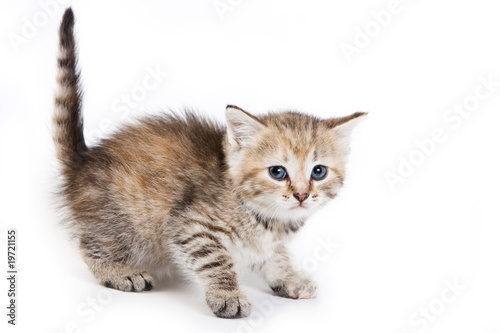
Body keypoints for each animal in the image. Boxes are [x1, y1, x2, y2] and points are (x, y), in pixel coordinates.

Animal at [53, 9, 368, 318]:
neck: (265, 217)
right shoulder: (191, 226)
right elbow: (215, 261)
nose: (302, 195)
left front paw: (290, 278)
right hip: (124, 223)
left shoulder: (265, 244)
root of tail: (82, 160)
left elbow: (274, 257)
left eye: (319, 171)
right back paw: (119, 271)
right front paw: (228, 295)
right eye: (278, 172)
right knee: (90, 246)